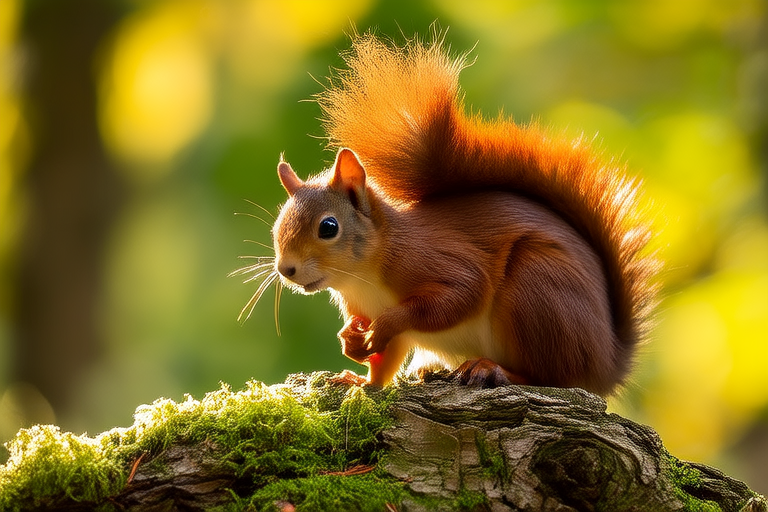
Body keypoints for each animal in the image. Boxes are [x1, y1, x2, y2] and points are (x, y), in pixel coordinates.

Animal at [267, 34, 658, 396]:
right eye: (276, 228)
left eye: (328, 227)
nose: (286, 270)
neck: (362, 276)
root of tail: (605, 365)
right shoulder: (361, 307)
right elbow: (386, 359)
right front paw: (357, 364)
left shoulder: (434, 259)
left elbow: (457, 296)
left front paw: (385, 325)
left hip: (538, 292)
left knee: (550, 376)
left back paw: (493, 369)